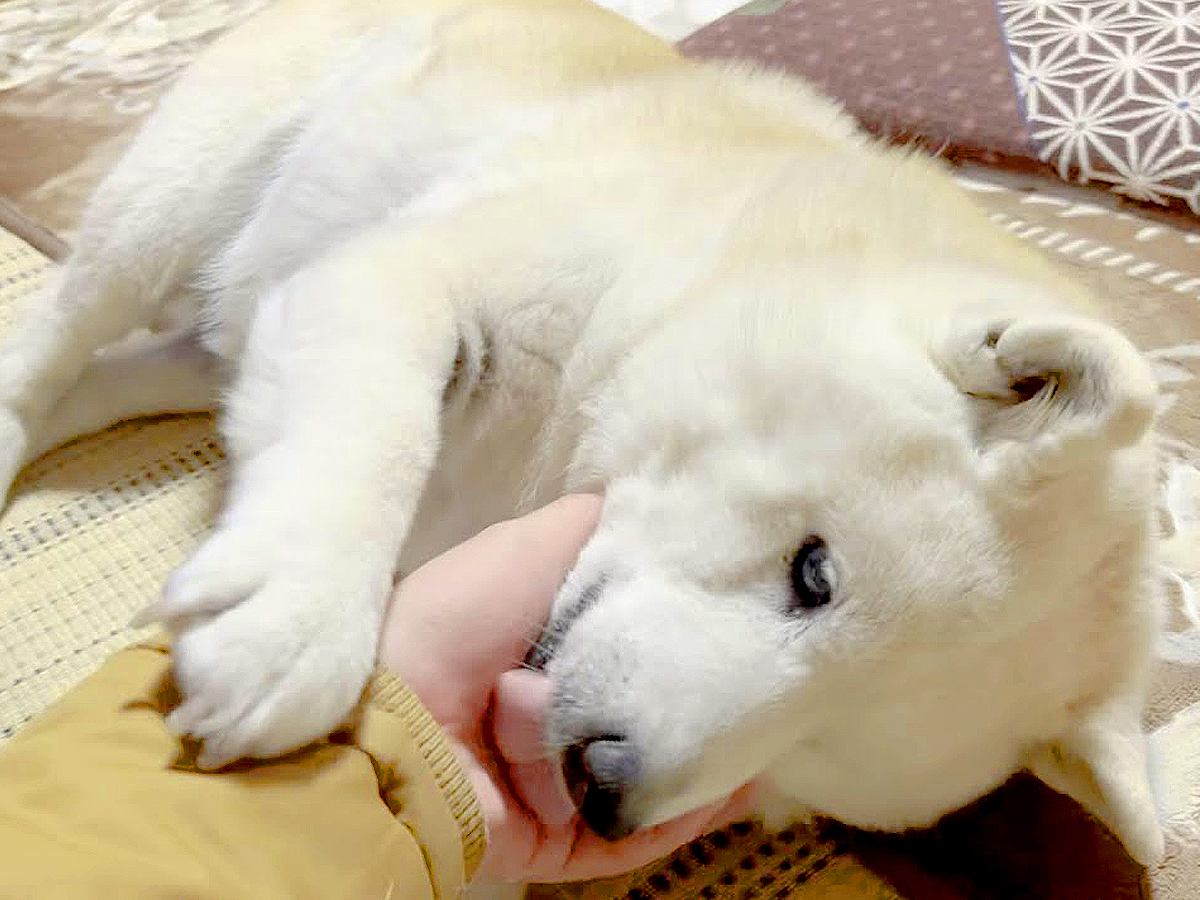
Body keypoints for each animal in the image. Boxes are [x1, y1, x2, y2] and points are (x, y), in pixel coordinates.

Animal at [0, 0, 1161, 883]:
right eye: (815, 574)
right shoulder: (397, 280)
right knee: (60, 329)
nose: (603, 788)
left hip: (222, 324)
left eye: (813, 750)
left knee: (130, 375)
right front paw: (293, 618)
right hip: (177, 198)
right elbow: (379, 435)